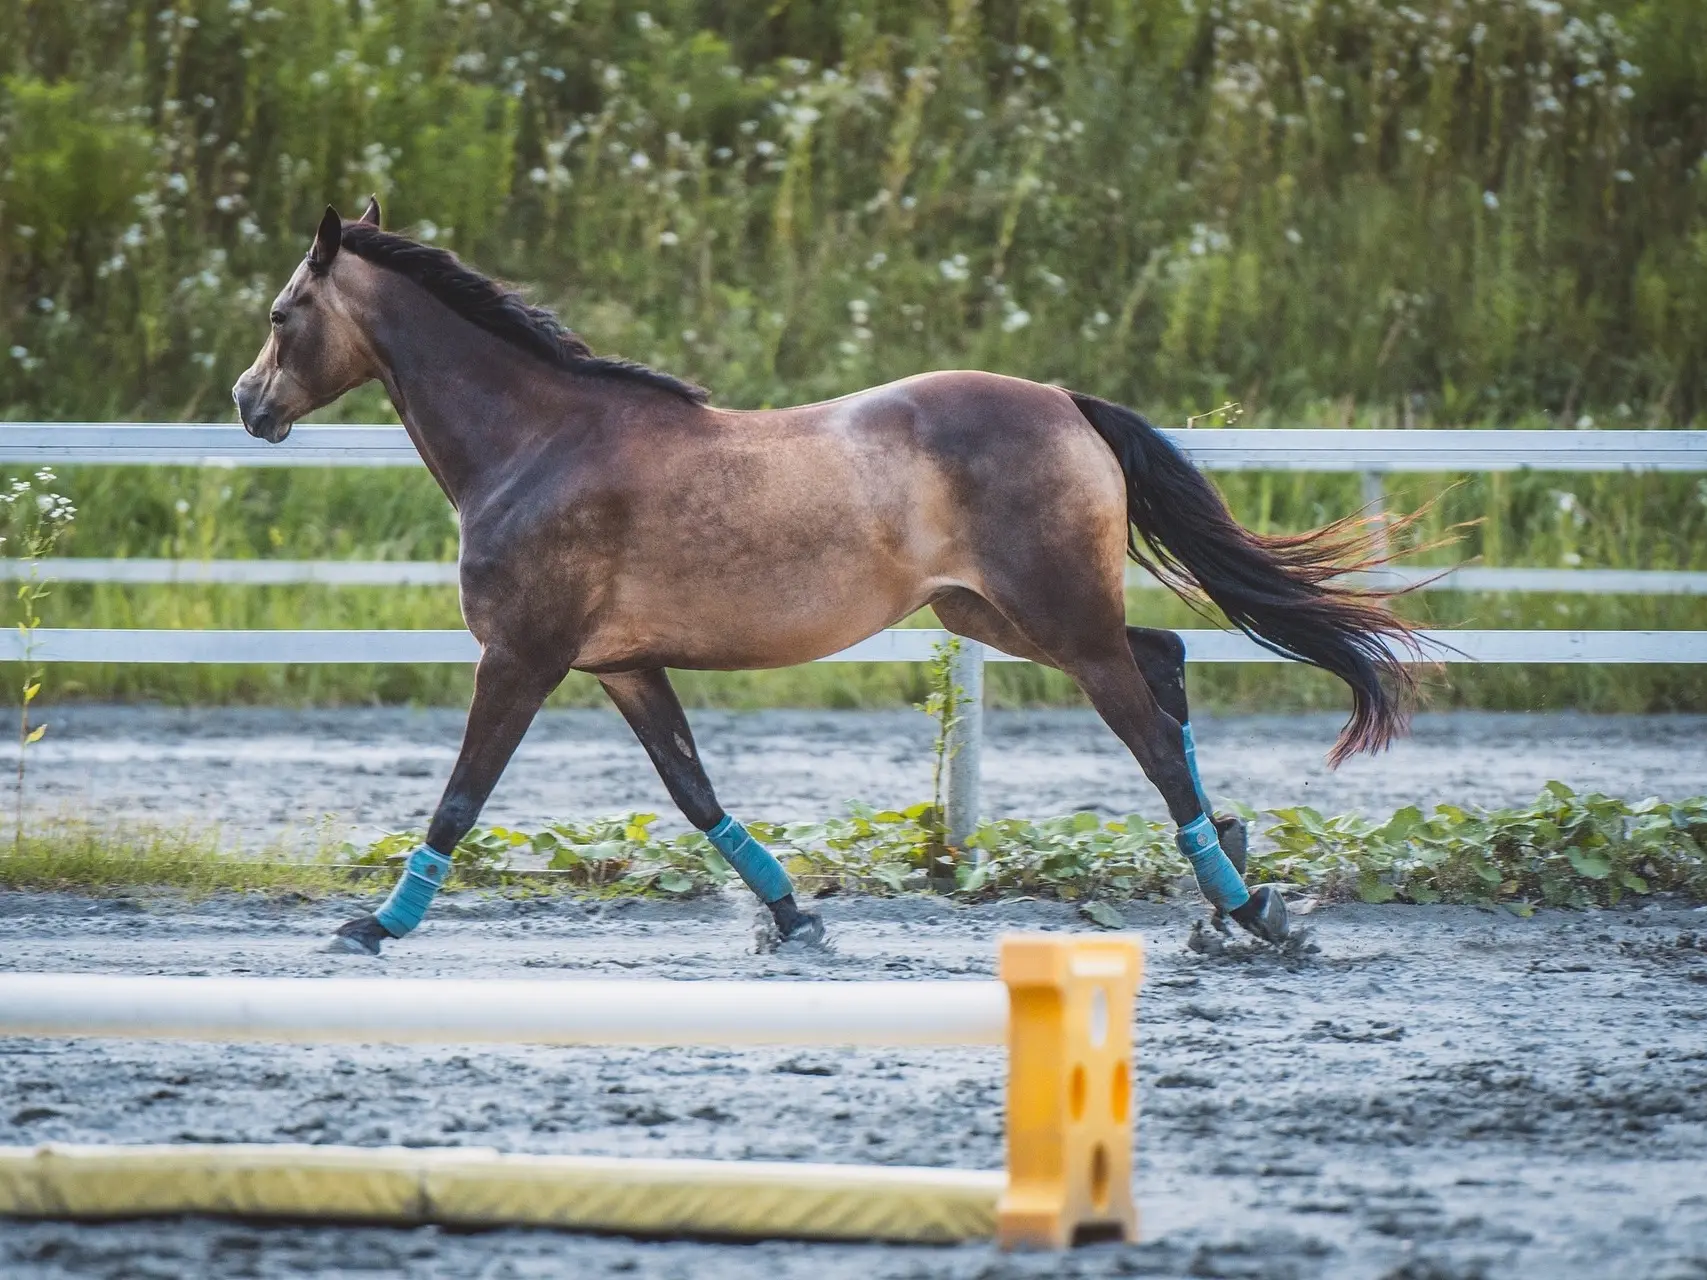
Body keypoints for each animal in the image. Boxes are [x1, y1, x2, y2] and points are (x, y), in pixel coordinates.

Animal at [233, 200, 1420, 955]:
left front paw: (374, 924)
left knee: (1153, 731)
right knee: (1167, 663)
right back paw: (1230, 880)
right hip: (997, 615)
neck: (538, 443)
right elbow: (693, 789)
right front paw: (793, 914)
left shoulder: (521, 656)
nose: (250, 402)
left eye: (285, 311)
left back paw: (1250, 906)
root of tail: (1064, 401)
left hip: (1059, 622)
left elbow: (461, 796)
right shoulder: (620, 665)